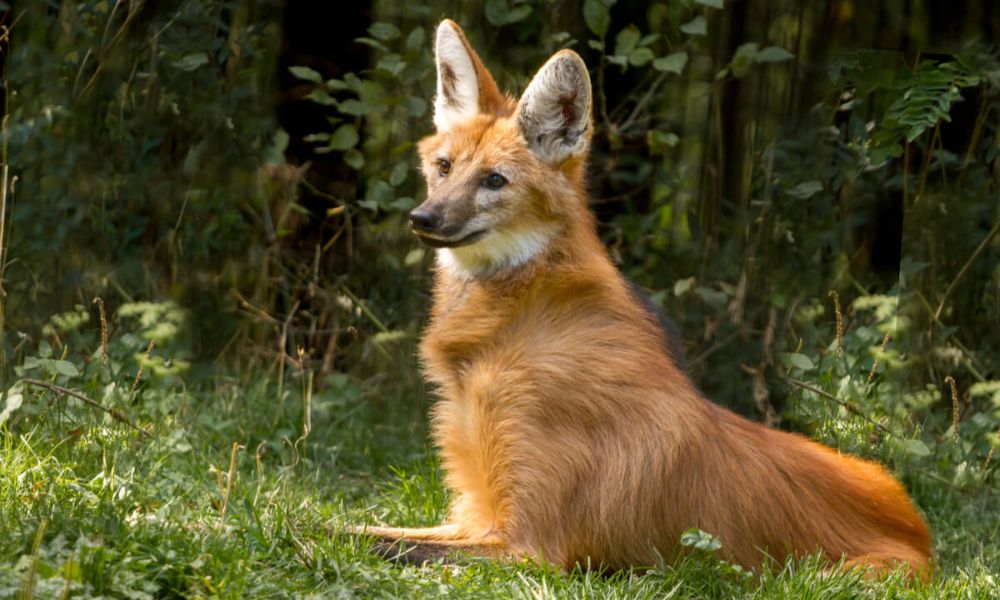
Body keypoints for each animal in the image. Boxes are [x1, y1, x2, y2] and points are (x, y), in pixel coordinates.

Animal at [354, 21, 928, 580]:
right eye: (444, 167)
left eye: (495, 180)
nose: (423, 218)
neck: (511, 328)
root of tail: (923, 534)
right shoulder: (471, 517)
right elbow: (355, 525)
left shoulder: (526, 549)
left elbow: (355, 540)